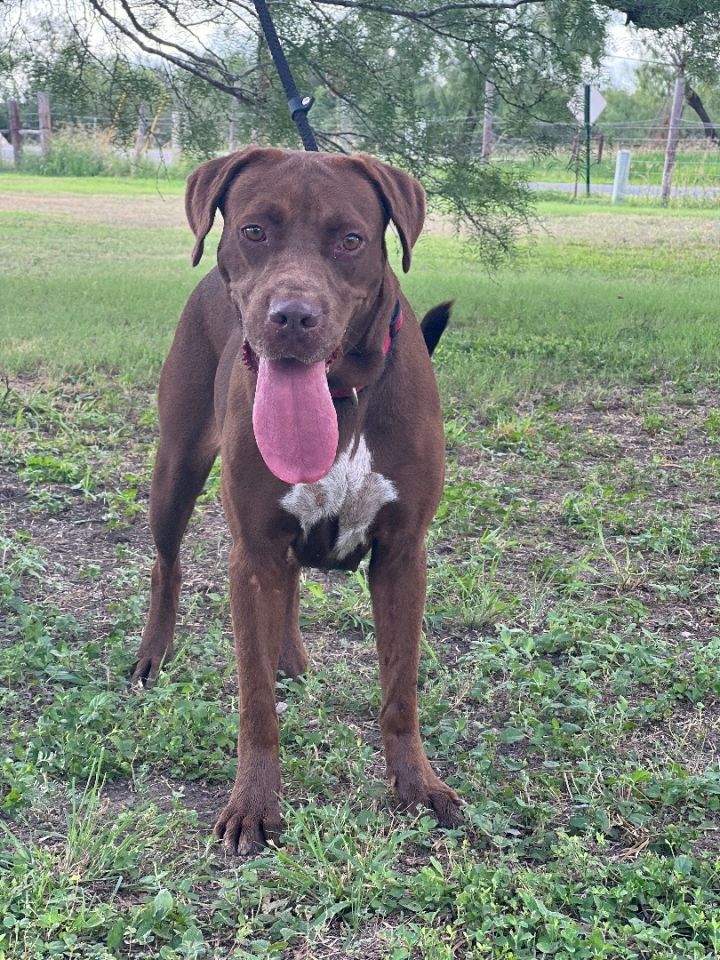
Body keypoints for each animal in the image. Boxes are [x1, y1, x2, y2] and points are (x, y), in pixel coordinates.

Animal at [134, 150, 462, 856]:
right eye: (255, 230)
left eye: (351, 240)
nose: (292, 316)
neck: (343, 392)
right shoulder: (252, 551)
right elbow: (254, 698)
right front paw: (254, 803)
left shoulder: (402, 555)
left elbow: (401, 688)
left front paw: (417, 785)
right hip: (176, 467)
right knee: (167, 563)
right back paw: (154, 652)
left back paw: (290, 658)